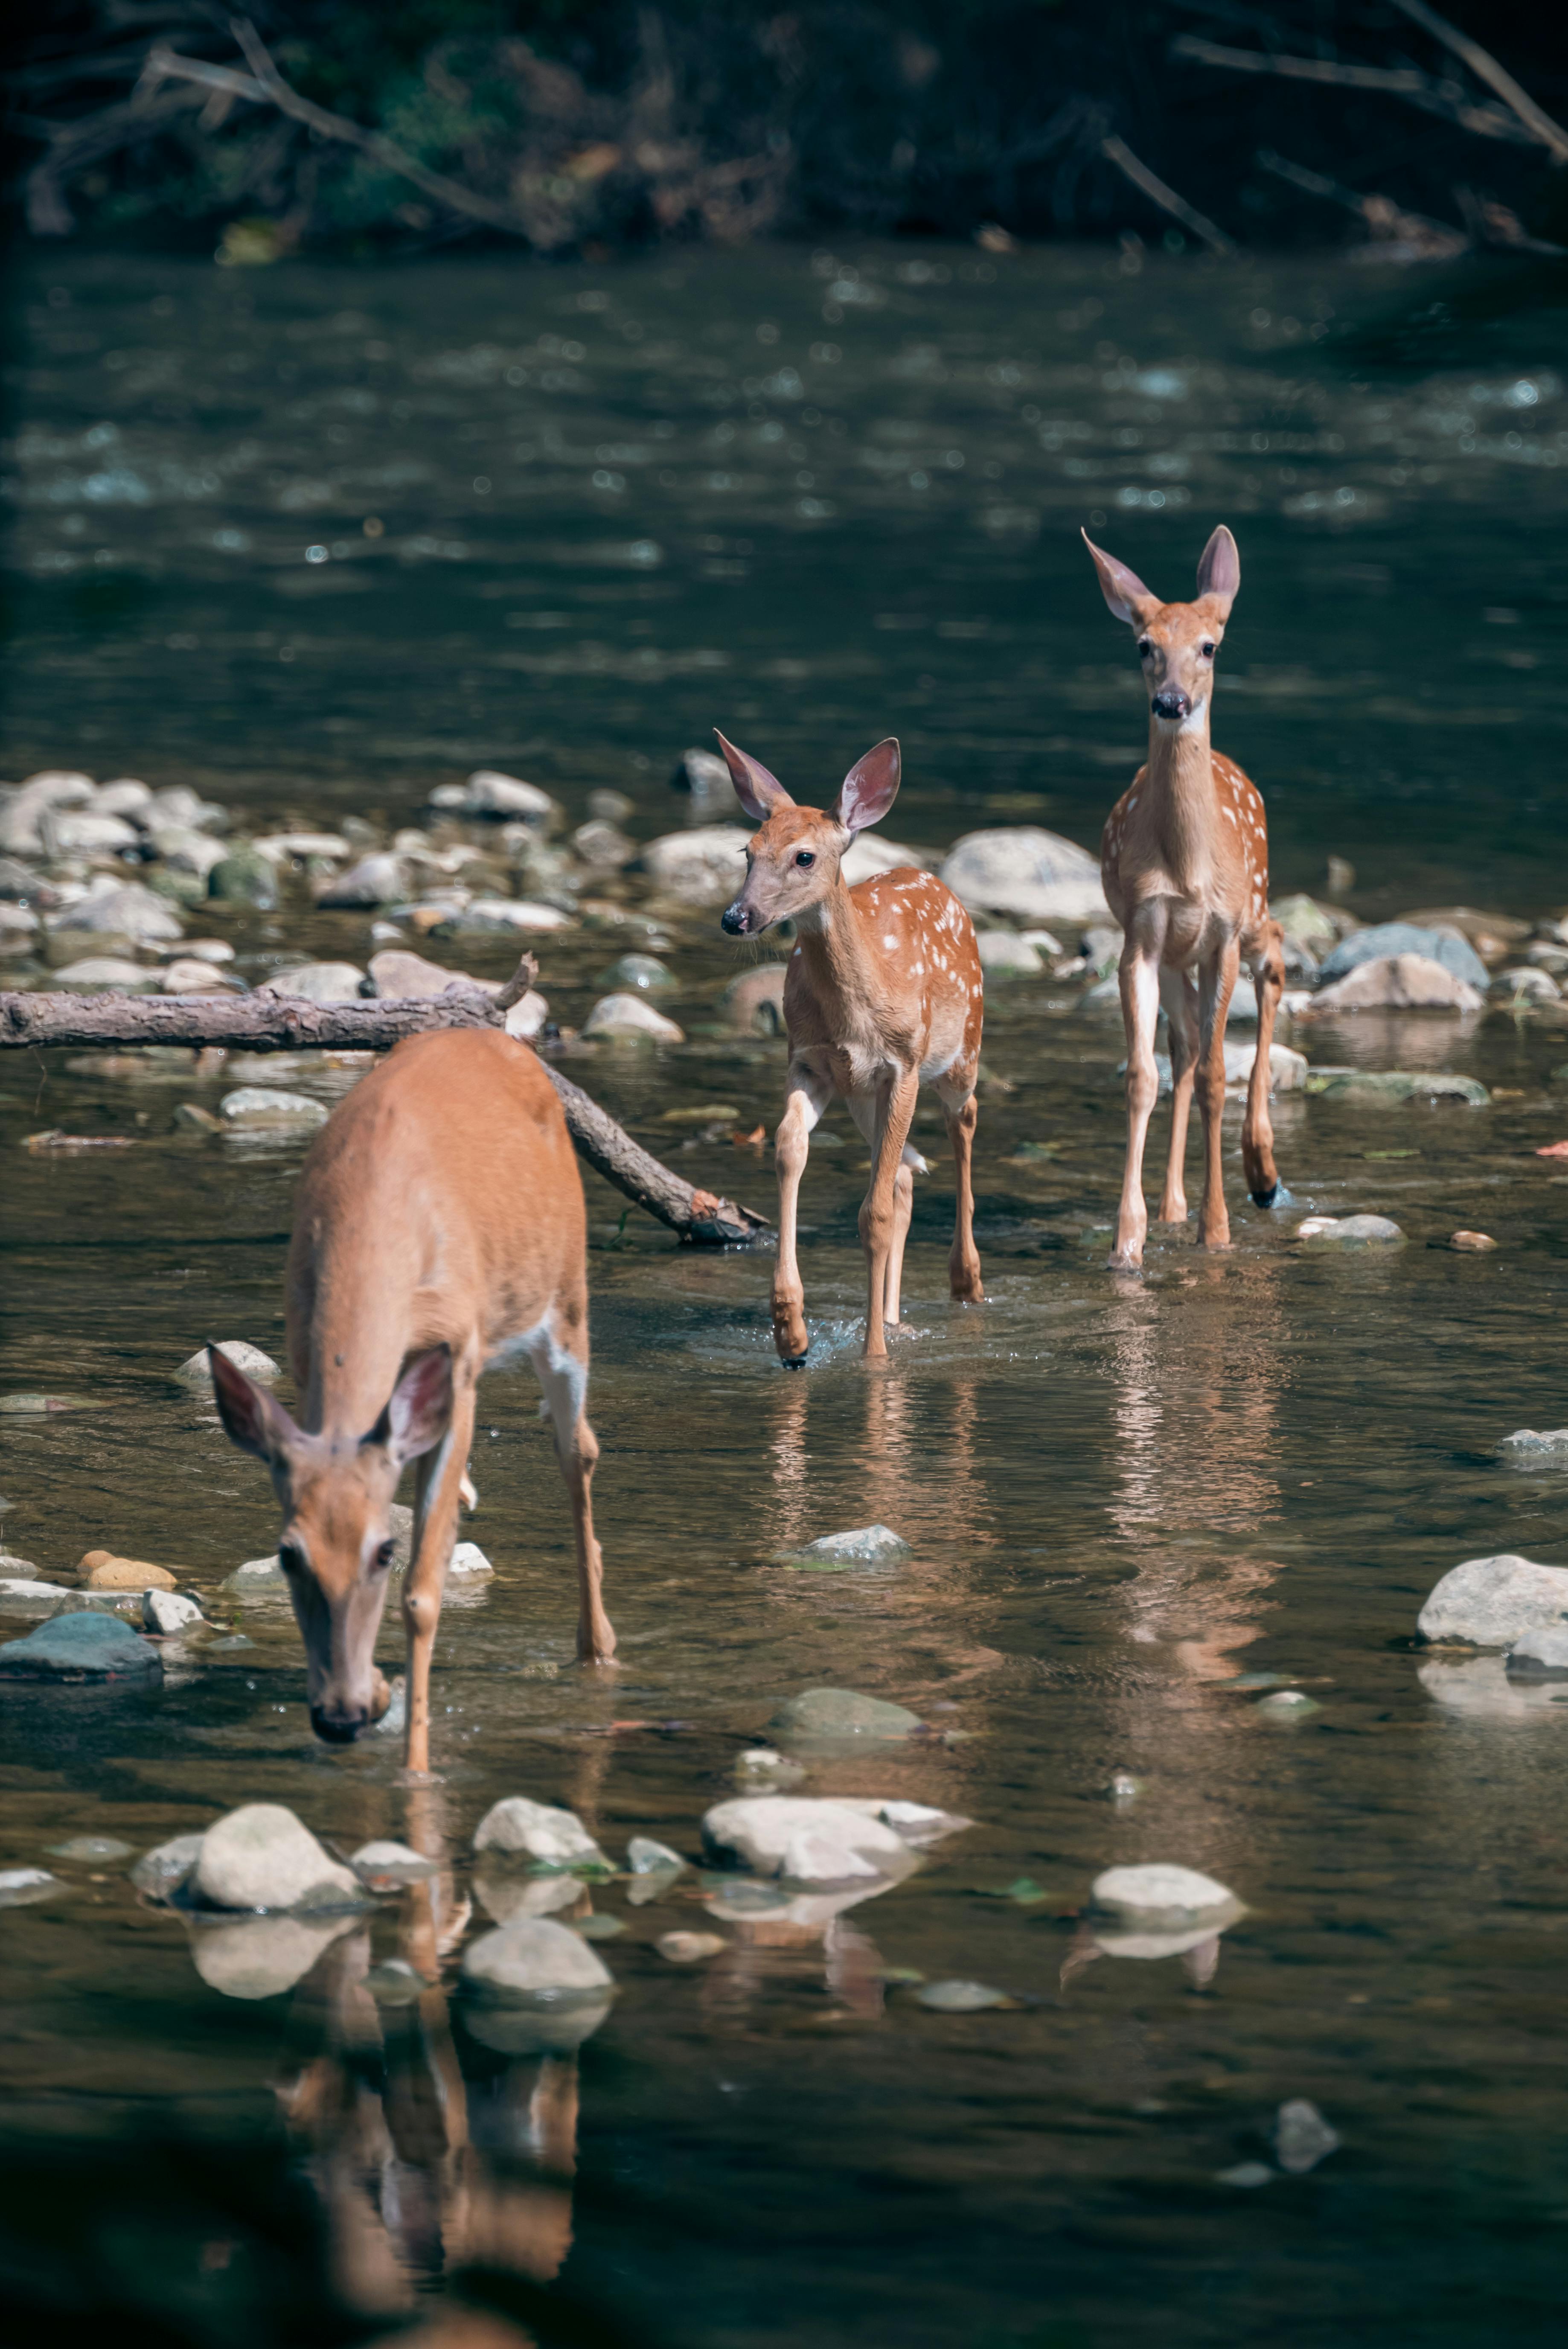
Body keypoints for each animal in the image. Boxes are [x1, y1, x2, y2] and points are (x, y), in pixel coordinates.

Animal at [206, 1025, 614, 1779]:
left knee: (578, 1447)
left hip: (566, 1298)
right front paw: (375, 1695)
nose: (337, 1716)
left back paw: (597, 1648)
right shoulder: (305, 1363)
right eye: (287, 1554)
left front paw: (416, 1770)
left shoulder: (464, 1362)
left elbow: (424, 1594)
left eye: (382, 1552)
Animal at [715, 731, 984, 1364]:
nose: (736, 917)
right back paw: (892, 1317)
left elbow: (874, 1214)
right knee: (907, 1174)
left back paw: (966, 1281)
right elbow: (789, 1148)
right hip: (864, 1098)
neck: (854, 1016)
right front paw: (791, 1332)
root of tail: (935, 881)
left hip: (960, 1052)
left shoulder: (902, 1066)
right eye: (747, 850)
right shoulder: (810, 1063)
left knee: (962, 1126)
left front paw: (872, 1356)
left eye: (804, 857)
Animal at [1082, 523, 1286, 1272]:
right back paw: (1172, 1206)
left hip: (1252, 909)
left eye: (1208, 646)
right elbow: (1145, 1075)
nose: (1170, 701)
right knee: (1184, 1043)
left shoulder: (1221, 932)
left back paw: (1262, 1172)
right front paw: (1128, 1238)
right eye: (1144, 646)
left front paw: (1216, 1229)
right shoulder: (1140, 936)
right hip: (1177, 957)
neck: (1188, 867)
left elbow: (1215, 1077)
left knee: (1274, 959)